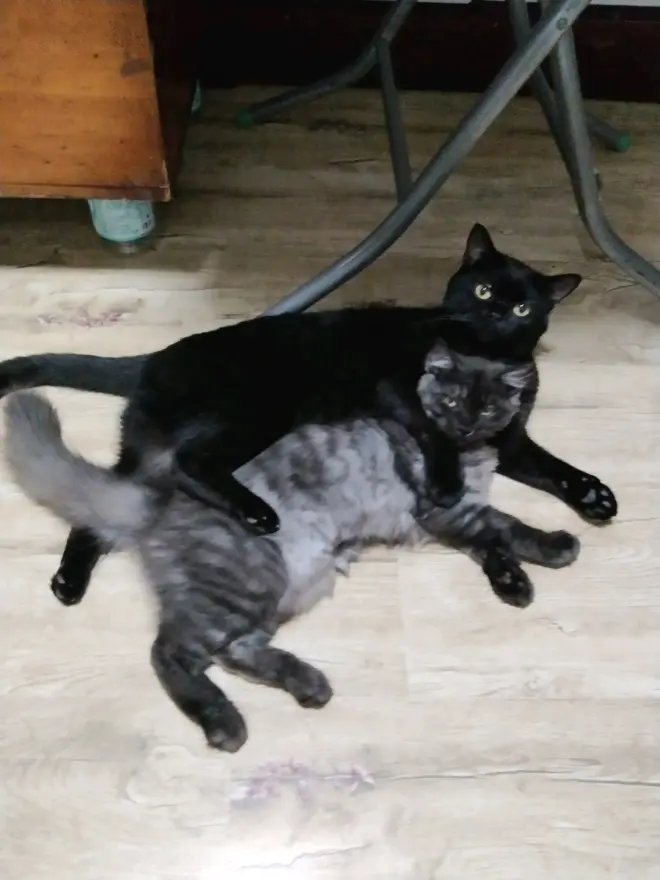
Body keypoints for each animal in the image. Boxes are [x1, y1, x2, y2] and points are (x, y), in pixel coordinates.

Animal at [0, 224, 616, 609]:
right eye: (485, 289)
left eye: (523, 307)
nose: (496, 313)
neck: (482, 359)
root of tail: (154, 358)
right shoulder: (396, 391)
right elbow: (434, 435)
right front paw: (449, 482)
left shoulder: (509, 439)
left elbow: (552, 466)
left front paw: (592, 494)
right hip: (252, 413)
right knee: (190, 463)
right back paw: (257, 513)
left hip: (148, 447)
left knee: (101, 499)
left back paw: (68, 580)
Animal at [3, 342, 580, 752]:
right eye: (454, 401)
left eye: (487, 410)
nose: (463, 426)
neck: (464, 455)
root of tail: (158, 504)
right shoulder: (447, 510)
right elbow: (506, 530)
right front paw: (548, 553)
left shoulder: (462, 515)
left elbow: (499, 539)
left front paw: (525, 571)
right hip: (250, 579)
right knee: (171, 652)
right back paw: (224, 722)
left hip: (288, 588)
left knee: (232, 651)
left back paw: (308, 684)